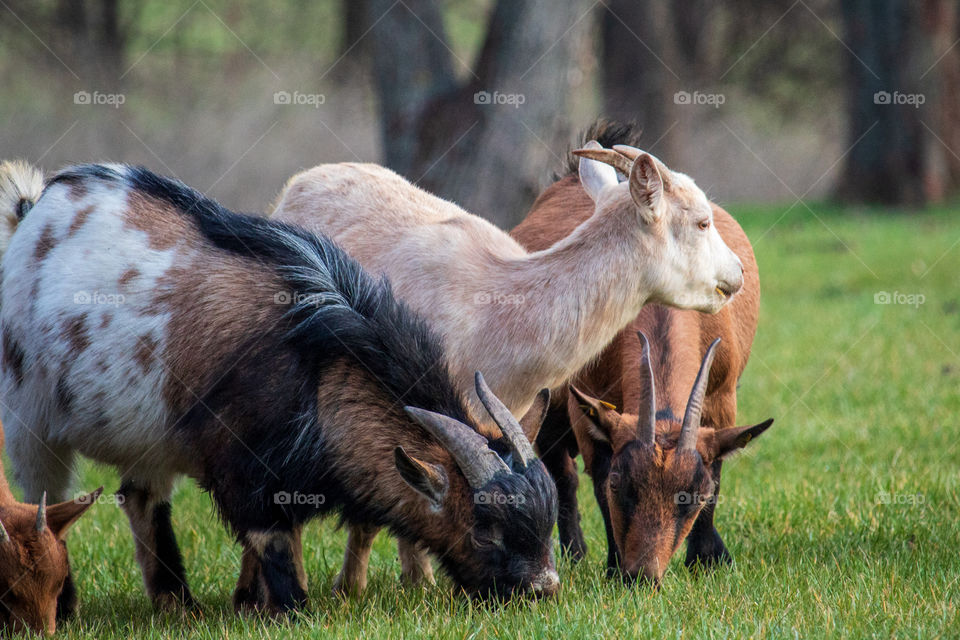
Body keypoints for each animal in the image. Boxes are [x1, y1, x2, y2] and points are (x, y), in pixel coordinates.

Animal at [269, 132, 744, 592]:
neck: (501, 309)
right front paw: (355, 588)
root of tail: (302, 181)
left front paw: (423, 581)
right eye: (702, 221)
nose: (737, 273)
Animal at [510, 122, 770, 582]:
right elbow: (593, 478)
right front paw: (613, 565)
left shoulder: (722, 398)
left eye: (691, 495)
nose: (643, 575)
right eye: (622, 485)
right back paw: (575, 554)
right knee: (562, 475)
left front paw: (707, 557)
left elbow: (718, 468)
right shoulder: (586, 406)